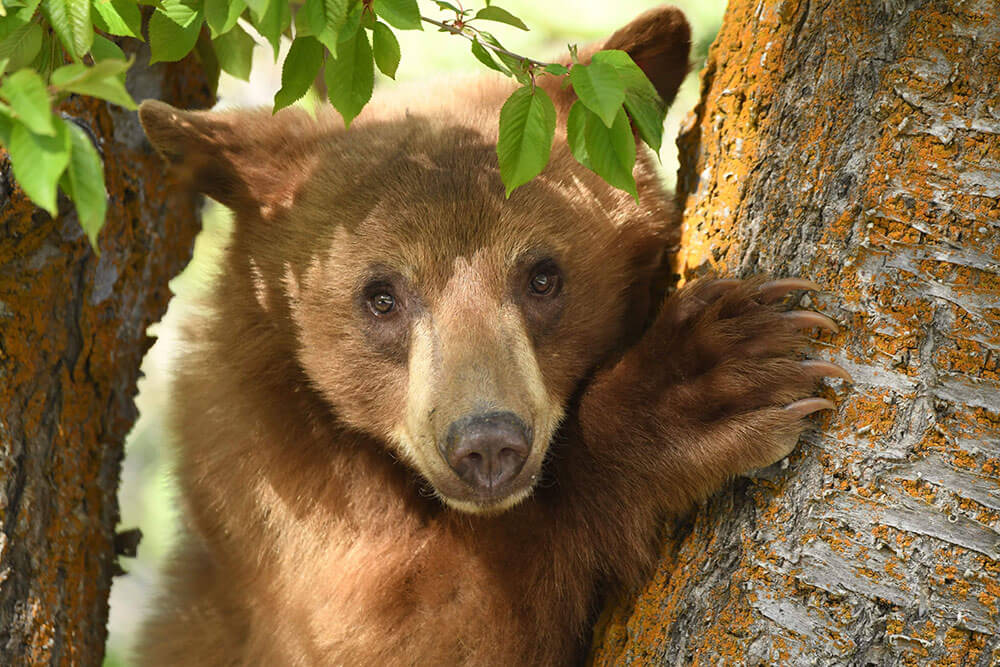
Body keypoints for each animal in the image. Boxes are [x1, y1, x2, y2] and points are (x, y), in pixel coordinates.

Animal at [135, 5, 848, 665]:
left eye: (543, 276)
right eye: (381, 296)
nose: (485, 445)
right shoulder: (269, 489)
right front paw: (699, 387)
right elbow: (413, 629)